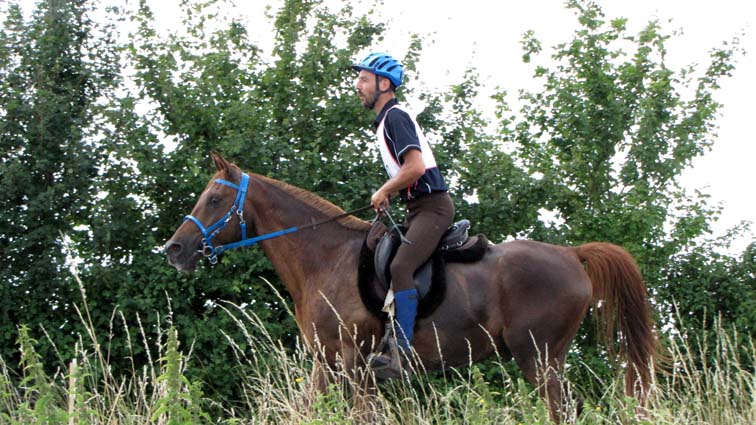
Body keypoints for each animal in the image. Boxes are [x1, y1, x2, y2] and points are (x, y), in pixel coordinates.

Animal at [164, 152, 658, 421]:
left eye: (214, 199)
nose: (174, 249)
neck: (324, 258)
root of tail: (572, 254)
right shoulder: (325, 363)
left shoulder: (357, 363)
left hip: (538, 356)